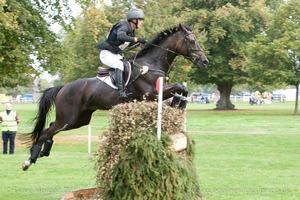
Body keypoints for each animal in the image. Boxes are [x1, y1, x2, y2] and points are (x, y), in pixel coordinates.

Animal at [21, 23, 209, 170]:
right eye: (191, 41)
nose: (205, 61)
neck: (151, 64)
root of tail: (63, 88)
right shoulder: (152, 95)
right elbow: (179, 86)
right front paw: (178, 103)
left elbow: (182, 88)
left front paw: (179, 103)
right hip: (68, 118)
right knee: (45, 132)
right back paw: (29, 161)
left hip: (79, 120)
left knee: (51, 129)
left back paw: (43, 152)